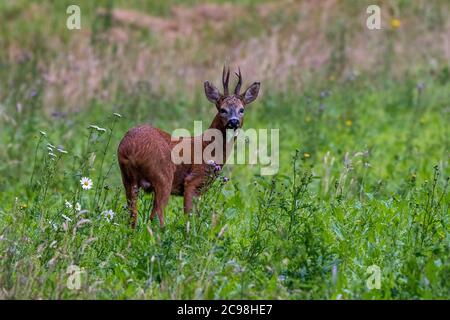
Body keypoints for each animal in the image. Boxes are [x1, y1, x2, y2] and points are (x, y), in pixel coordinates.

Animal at [118, 67, 260, 228]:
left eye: (242, 109)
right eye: (222, 110)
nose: (234, 121)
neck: (208, 149)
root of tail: (129, 148)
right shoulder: (192, 181)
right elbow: (189, 216)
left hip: (127, 179)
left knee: (132, 215)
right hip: (163, 175)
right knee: (156, 215)